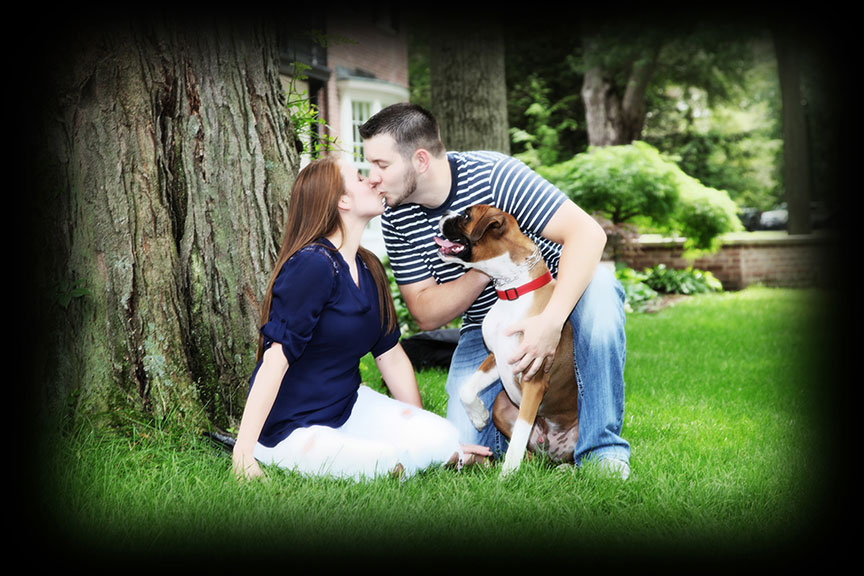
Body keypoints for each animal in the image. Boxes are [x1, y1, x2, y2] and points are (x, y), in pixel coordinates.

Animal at [436, 205, 576, 474]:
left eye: (466, 216)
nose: (444, 214)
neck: (514, 291)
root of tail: (550, 451)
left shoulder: (533, 380)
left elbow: (520, 433)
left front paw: (507, 476)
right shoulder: (497, 356)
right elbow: (466, 388)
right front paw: (478, 416)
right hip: (501, 404)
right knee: (531, 455)